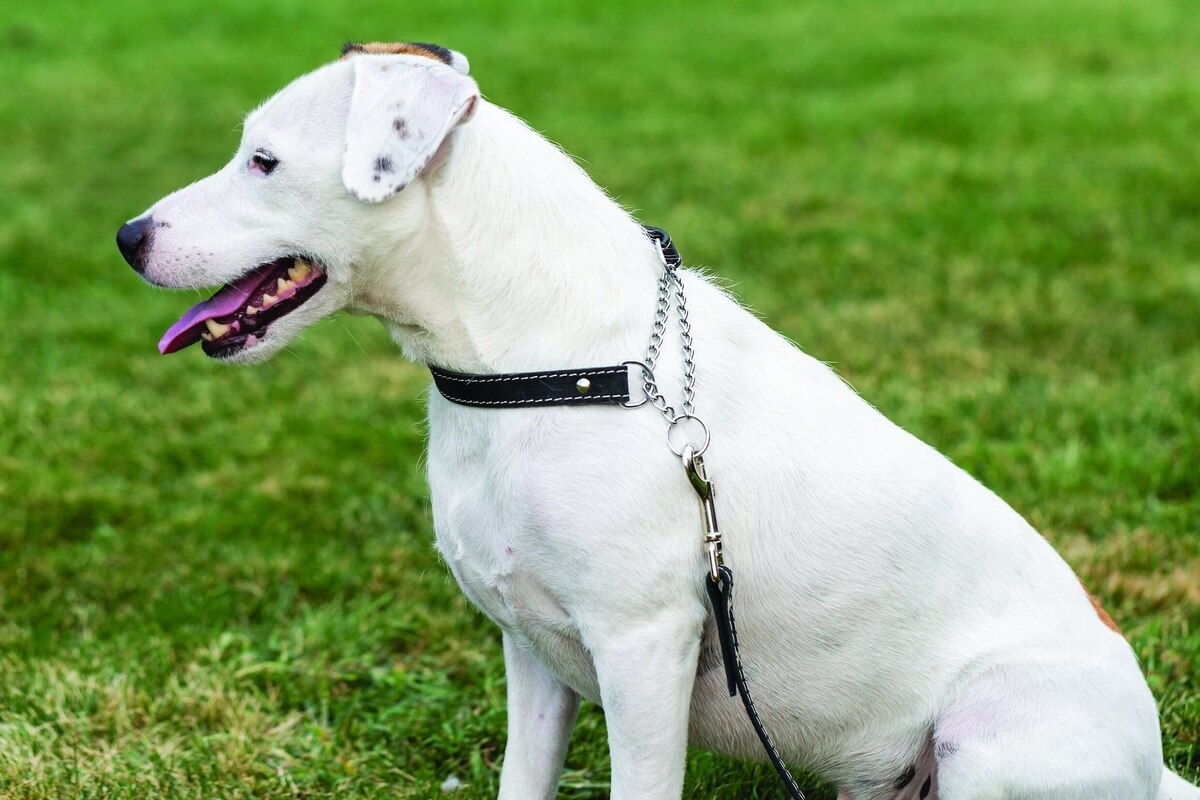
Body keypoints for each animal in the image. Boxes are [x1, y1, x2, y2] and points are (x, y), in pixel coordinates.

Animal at [116, 43, 1199, 800]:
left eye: (263, 161)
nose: (128, 236)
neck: (545, 365)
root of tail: (1155, 769)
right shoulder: (533, 652)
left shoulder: (644, 654)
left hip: (989, 727)